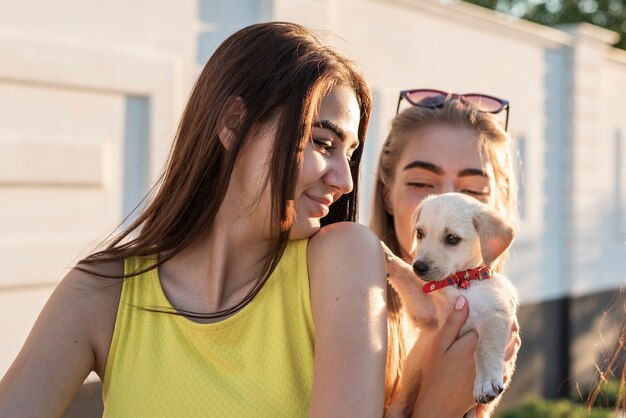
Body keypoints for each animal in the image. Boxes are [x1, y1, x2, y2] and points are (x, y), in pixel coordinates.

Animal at [386, 193, 516, 418]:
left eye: (452, 239)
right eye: (419, 233)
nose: (418, 267)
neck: (460, 282)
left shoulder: (495, 313)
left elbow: (485, 347)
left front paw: (485, 383)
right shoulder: (429, 314)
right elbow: (405, 275)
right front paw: (386, 254)